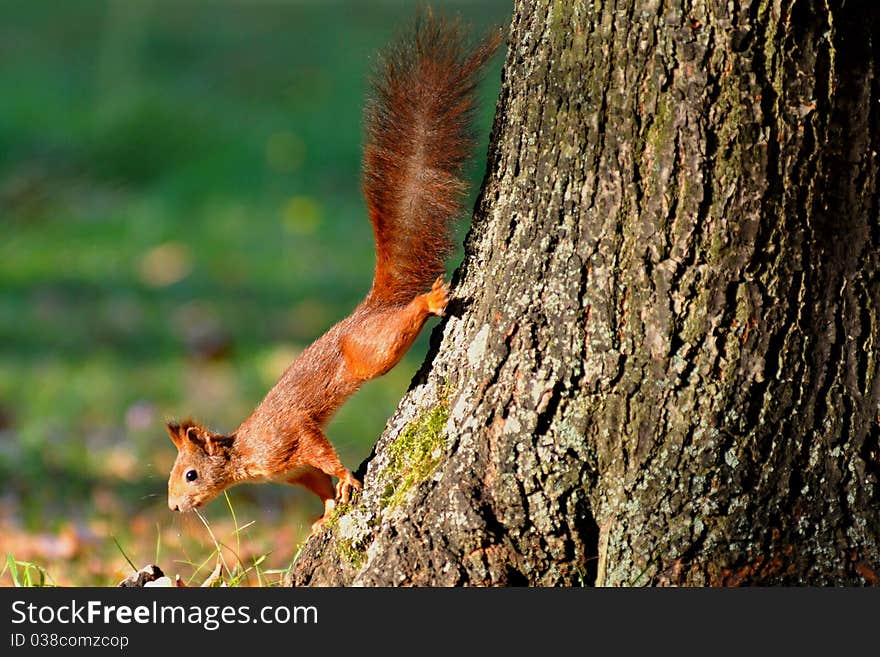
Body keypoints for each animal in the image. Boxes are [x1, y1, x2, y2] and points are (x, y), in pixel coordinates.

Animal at [162, 12, 498, 532]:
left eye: (192, 474)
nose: (175, 507)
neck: (246, 457)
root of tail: (370, 307)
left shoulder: (290, 436)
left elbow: (321, 451)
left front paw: (347, 481)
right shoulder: (293, 471)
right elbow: (315, 483)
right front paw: (324, 515)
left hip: (370, 349)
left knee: (395, 333)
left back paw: (430, 300)